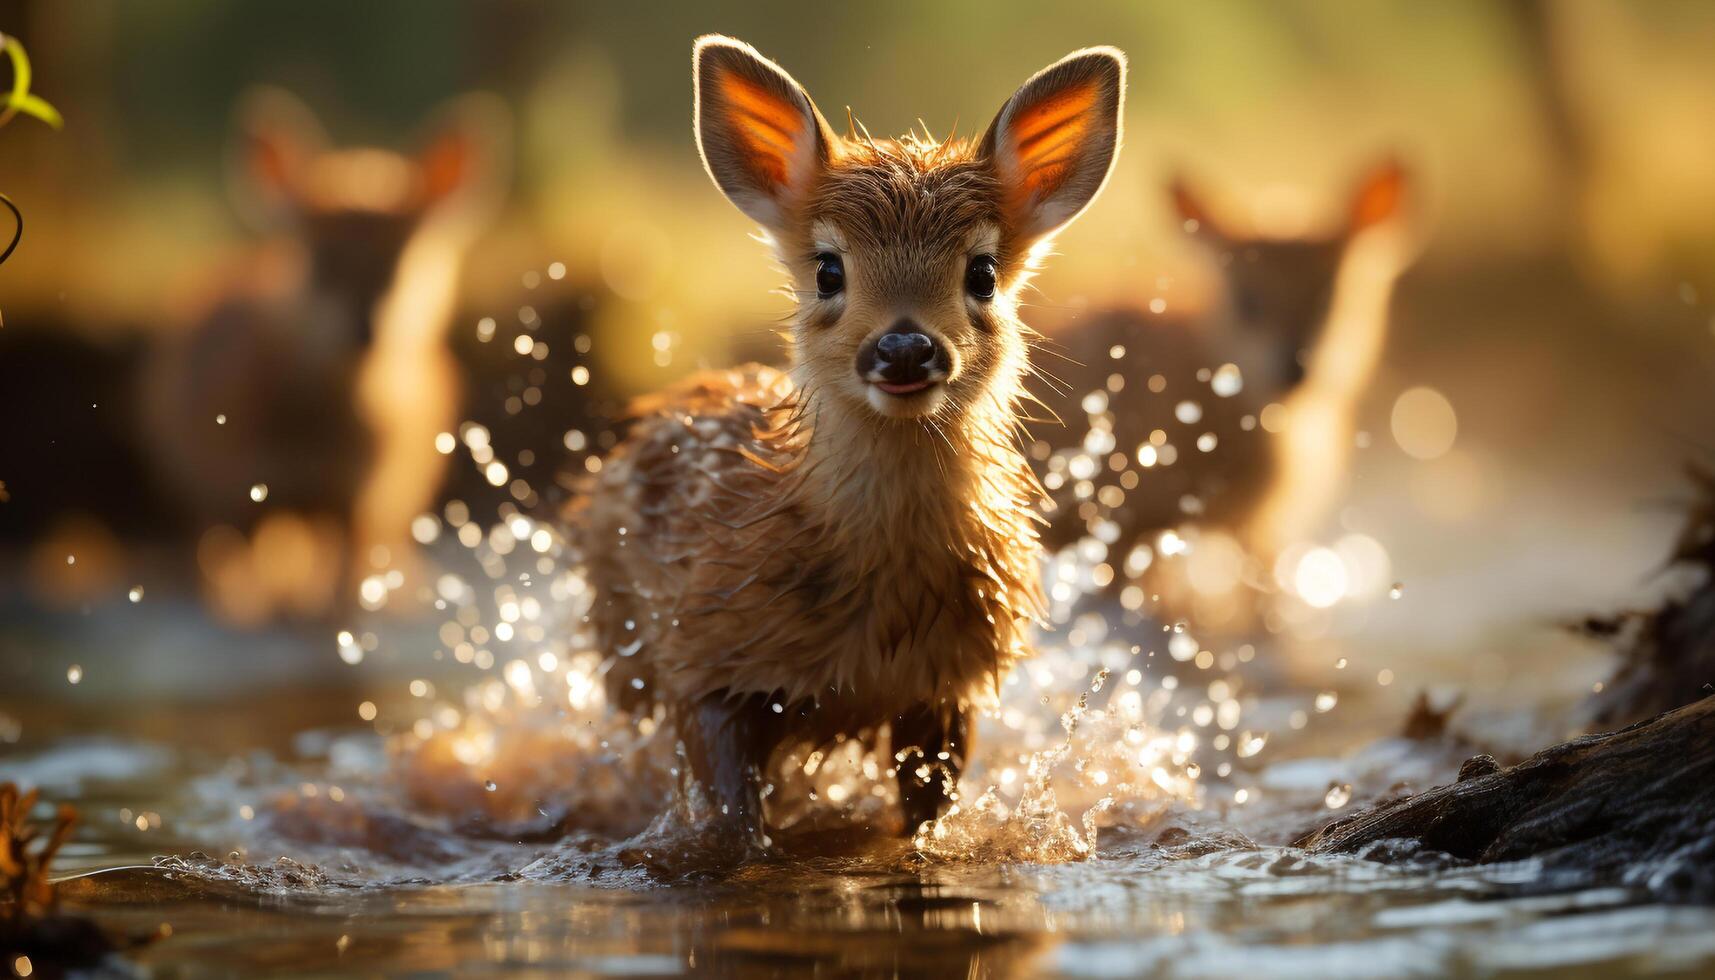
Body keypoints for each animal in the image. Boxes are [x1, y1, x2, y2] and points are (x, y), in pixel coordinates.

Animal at [143, 90, 504, 621]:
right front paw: (244, 607)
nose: (366, 326)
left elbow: (345, 585)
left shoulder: (360, 497)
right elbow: (244, 574)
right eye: (319, 259)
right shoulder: (233, 484)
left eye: (403, 260)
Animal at [579, 36, 1125, 844]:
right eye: (828, 269)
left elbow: (927, 814)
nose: (903, 348)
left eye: (983, 272)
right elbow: (733, 815)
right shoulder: (703, 655)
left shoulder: (947, 687)